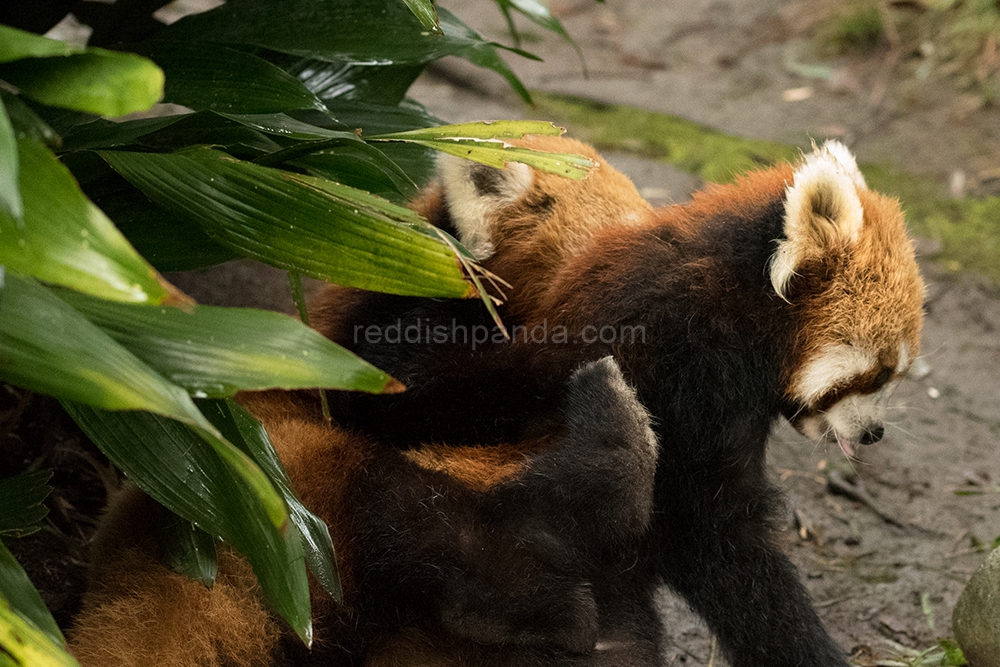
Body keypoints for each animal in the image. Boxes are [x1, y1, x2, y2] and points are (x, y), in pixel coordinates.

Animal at [330, 137, 928, 667]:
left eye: (897, 375)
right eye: (877, 373)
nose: (874, 434)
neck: (737, 310)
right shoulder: (684, 367)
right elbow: (715, 535)